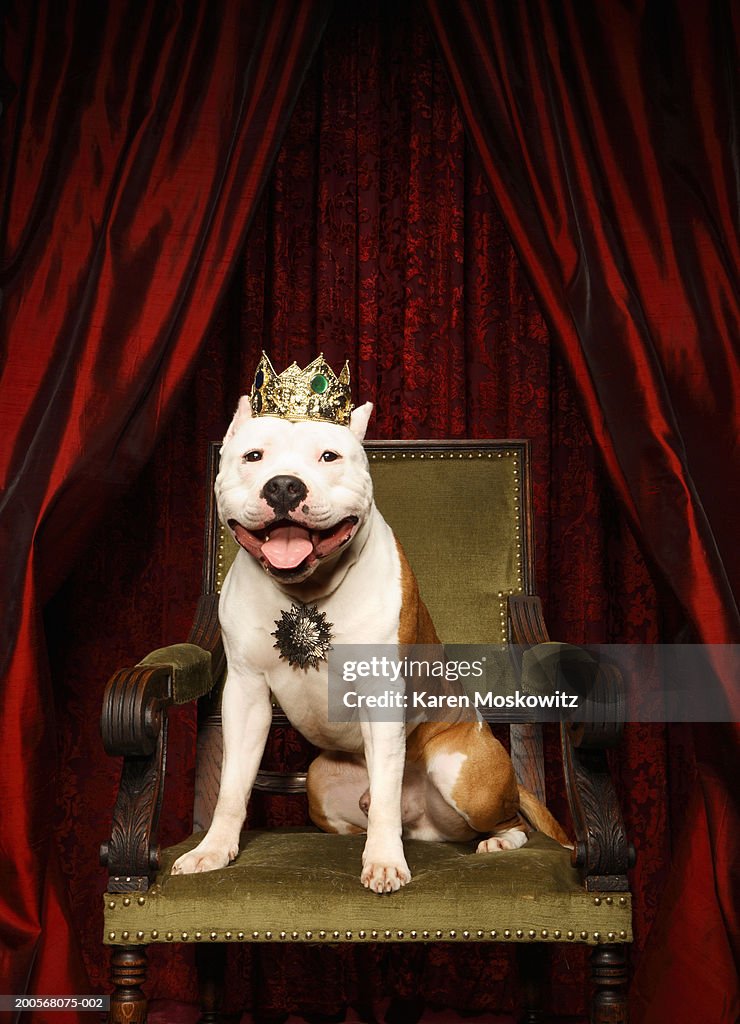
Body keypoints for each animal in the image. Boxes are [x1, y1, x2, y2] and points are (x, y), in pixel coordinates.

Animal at [171, 356, 569, 892]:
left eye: (329, 456)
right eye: (253, 456)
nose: (283, 484)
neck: (307, 596)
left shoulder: (381, 692)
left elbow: (384, 794)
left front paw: (383, 861)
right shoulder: (245, 694)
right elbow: (232, 786)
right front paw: (213, 849)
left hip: (465, 778)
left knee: (510, 820)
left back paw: (498, 842)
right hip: (321, 782)